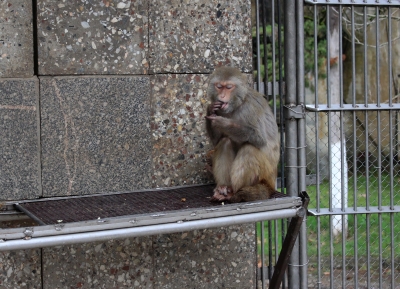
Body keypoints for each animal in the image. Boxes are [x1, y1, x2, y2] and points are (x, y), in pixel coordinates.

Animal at [205, 67, 280, 202]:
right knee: (225, 142)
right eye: (219, 86)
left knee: (250, 148)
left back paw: (235, 191)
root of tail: (271, 182)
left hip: (264, 172)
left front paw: (224, 123)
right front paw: (210, 109)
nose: (222, 95)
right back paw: (224, 187)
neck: (238, 104)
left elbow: (260, 138)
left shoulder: (250, 108)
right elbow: (217, 141)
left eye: (229, 87)